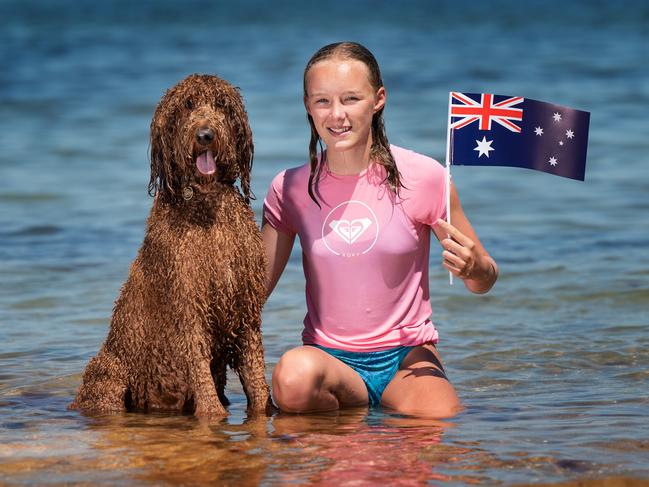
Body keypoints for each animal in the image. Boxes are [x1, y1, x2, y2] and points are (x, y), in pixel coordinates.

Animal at [69, 74, 272, 418]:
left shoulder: (244, 308)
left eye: (221, 104)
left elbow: (257, 379)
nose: (205, 135)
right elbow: (200, 371)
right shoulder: (188, 306)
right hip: (109, 376)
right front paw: (214, 415)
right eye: (187, 105)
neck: (206, 204)